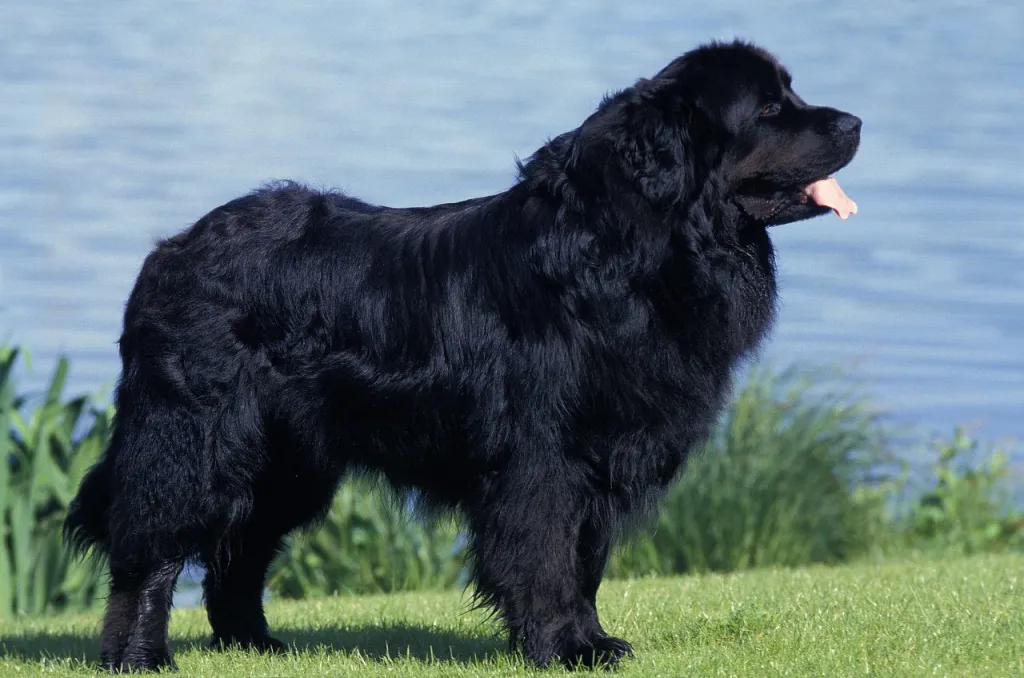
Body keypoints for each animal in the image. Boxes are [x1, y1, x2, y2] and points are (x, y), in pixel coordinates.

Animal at [64, 39, 860, 671]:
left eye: (791, 95)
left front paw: (592, 640)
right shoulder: (543, 455)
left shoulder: (599, 454)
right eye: (769, 109)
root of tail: (171, 251)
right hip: (195, 438)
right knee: (153, 552)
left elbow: (586, 560)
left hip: (287, 461)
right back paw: (139, 657)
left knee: (240, 553)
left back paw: (255, 646)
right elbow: (546, 553)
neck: (626, 252)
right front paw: (560, 647)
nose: (855, 121)